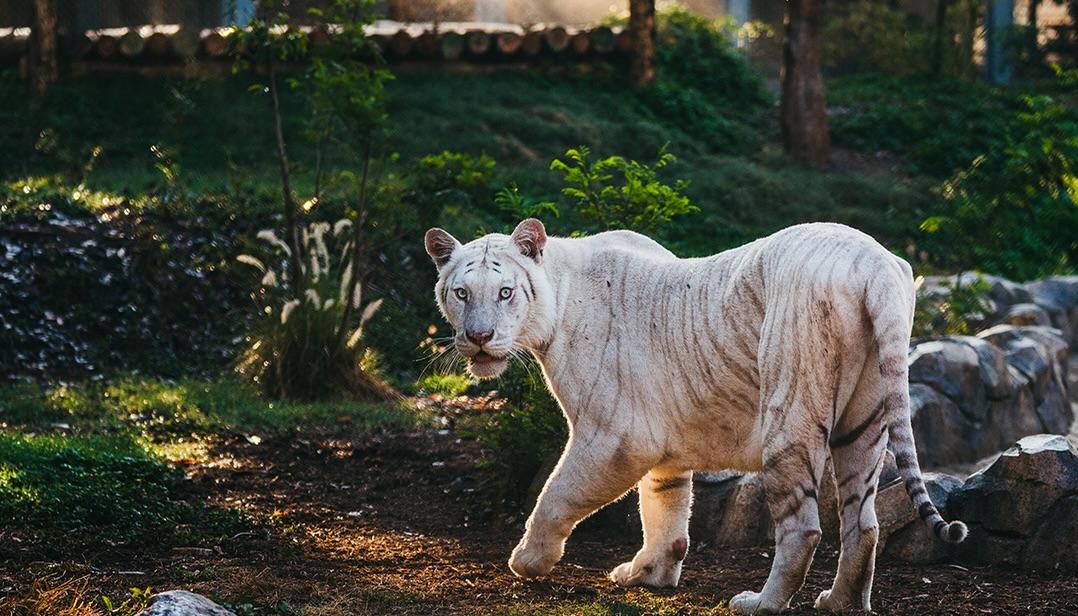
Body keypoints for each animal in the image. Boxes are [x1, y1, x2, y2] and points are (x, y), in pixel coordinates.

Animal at [424, 219, 966, 613]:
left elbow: (555, 495)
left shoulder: (615, 437)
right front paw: (649, 573)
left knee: (804, 528)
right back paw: (840, 603)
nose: (478, 338)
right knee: (863, 524)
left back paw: (761, 603)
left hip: (789, 413)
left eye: (505, 292)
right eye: (462, 293)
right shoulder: (661, 441)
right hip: (864, 420)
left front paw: (528, 560)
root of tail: (873, 261)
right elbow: (665, 507)